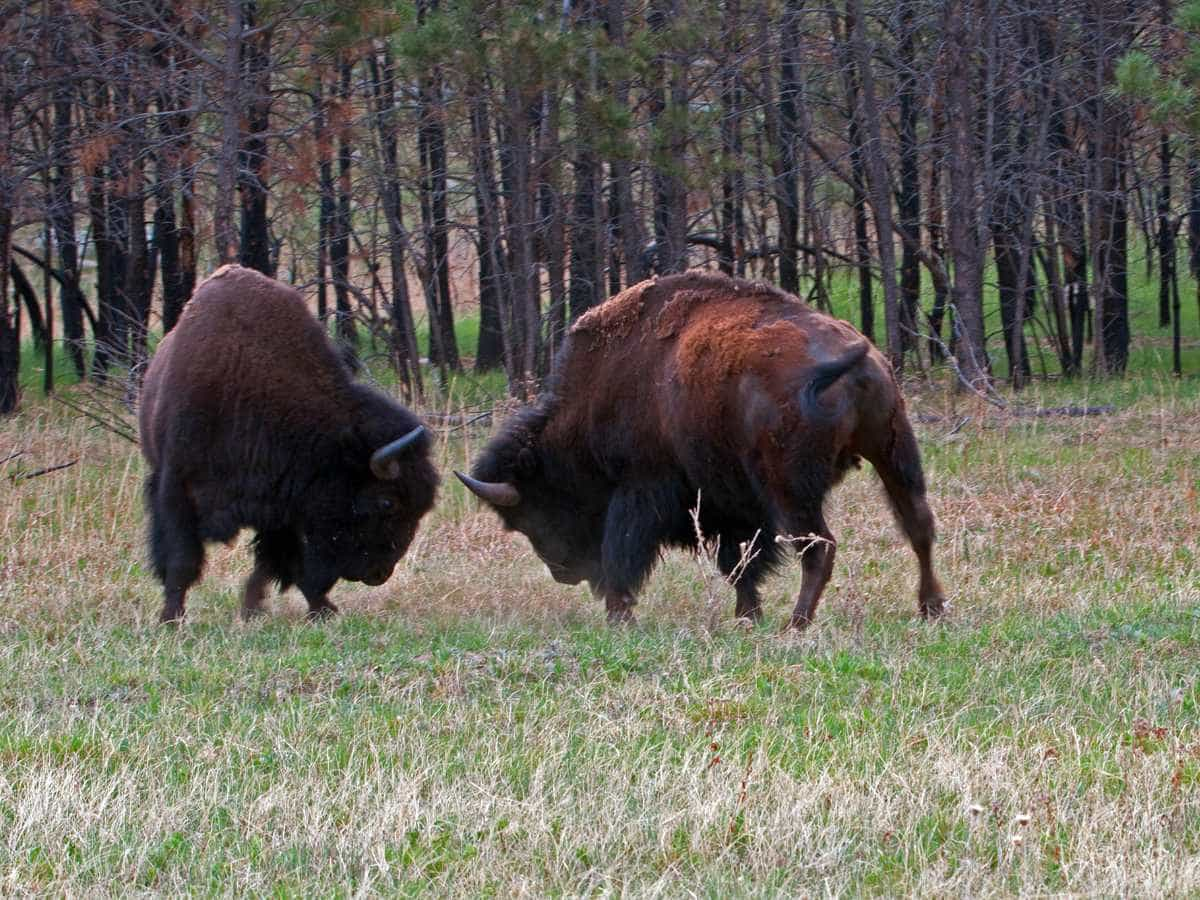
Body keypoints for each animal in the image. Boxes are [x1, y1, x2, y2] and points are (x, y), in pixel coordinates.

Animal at [139, 264, 439, 624]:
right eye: (387, 502)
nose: (380, 573)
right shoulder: (176, 488)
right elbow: (181, 559)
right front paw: (171, 618)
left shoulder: (281, 502)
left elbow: (283, 563)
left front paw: (308, 610)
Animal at [458, 271, 945, 628]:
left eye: (535, 512)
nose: (562, 571)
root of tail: (856, 358)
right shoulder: (735, 505)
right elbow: (739, 563)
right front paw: (747, 616)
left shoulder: (641, 490)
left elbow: (625, 551)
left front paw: (619, 613)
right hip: (893, 452)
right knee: (917, 525)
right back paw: (931, 608)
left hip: (792, 487)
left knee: (820, 547)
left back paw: (797, 623)